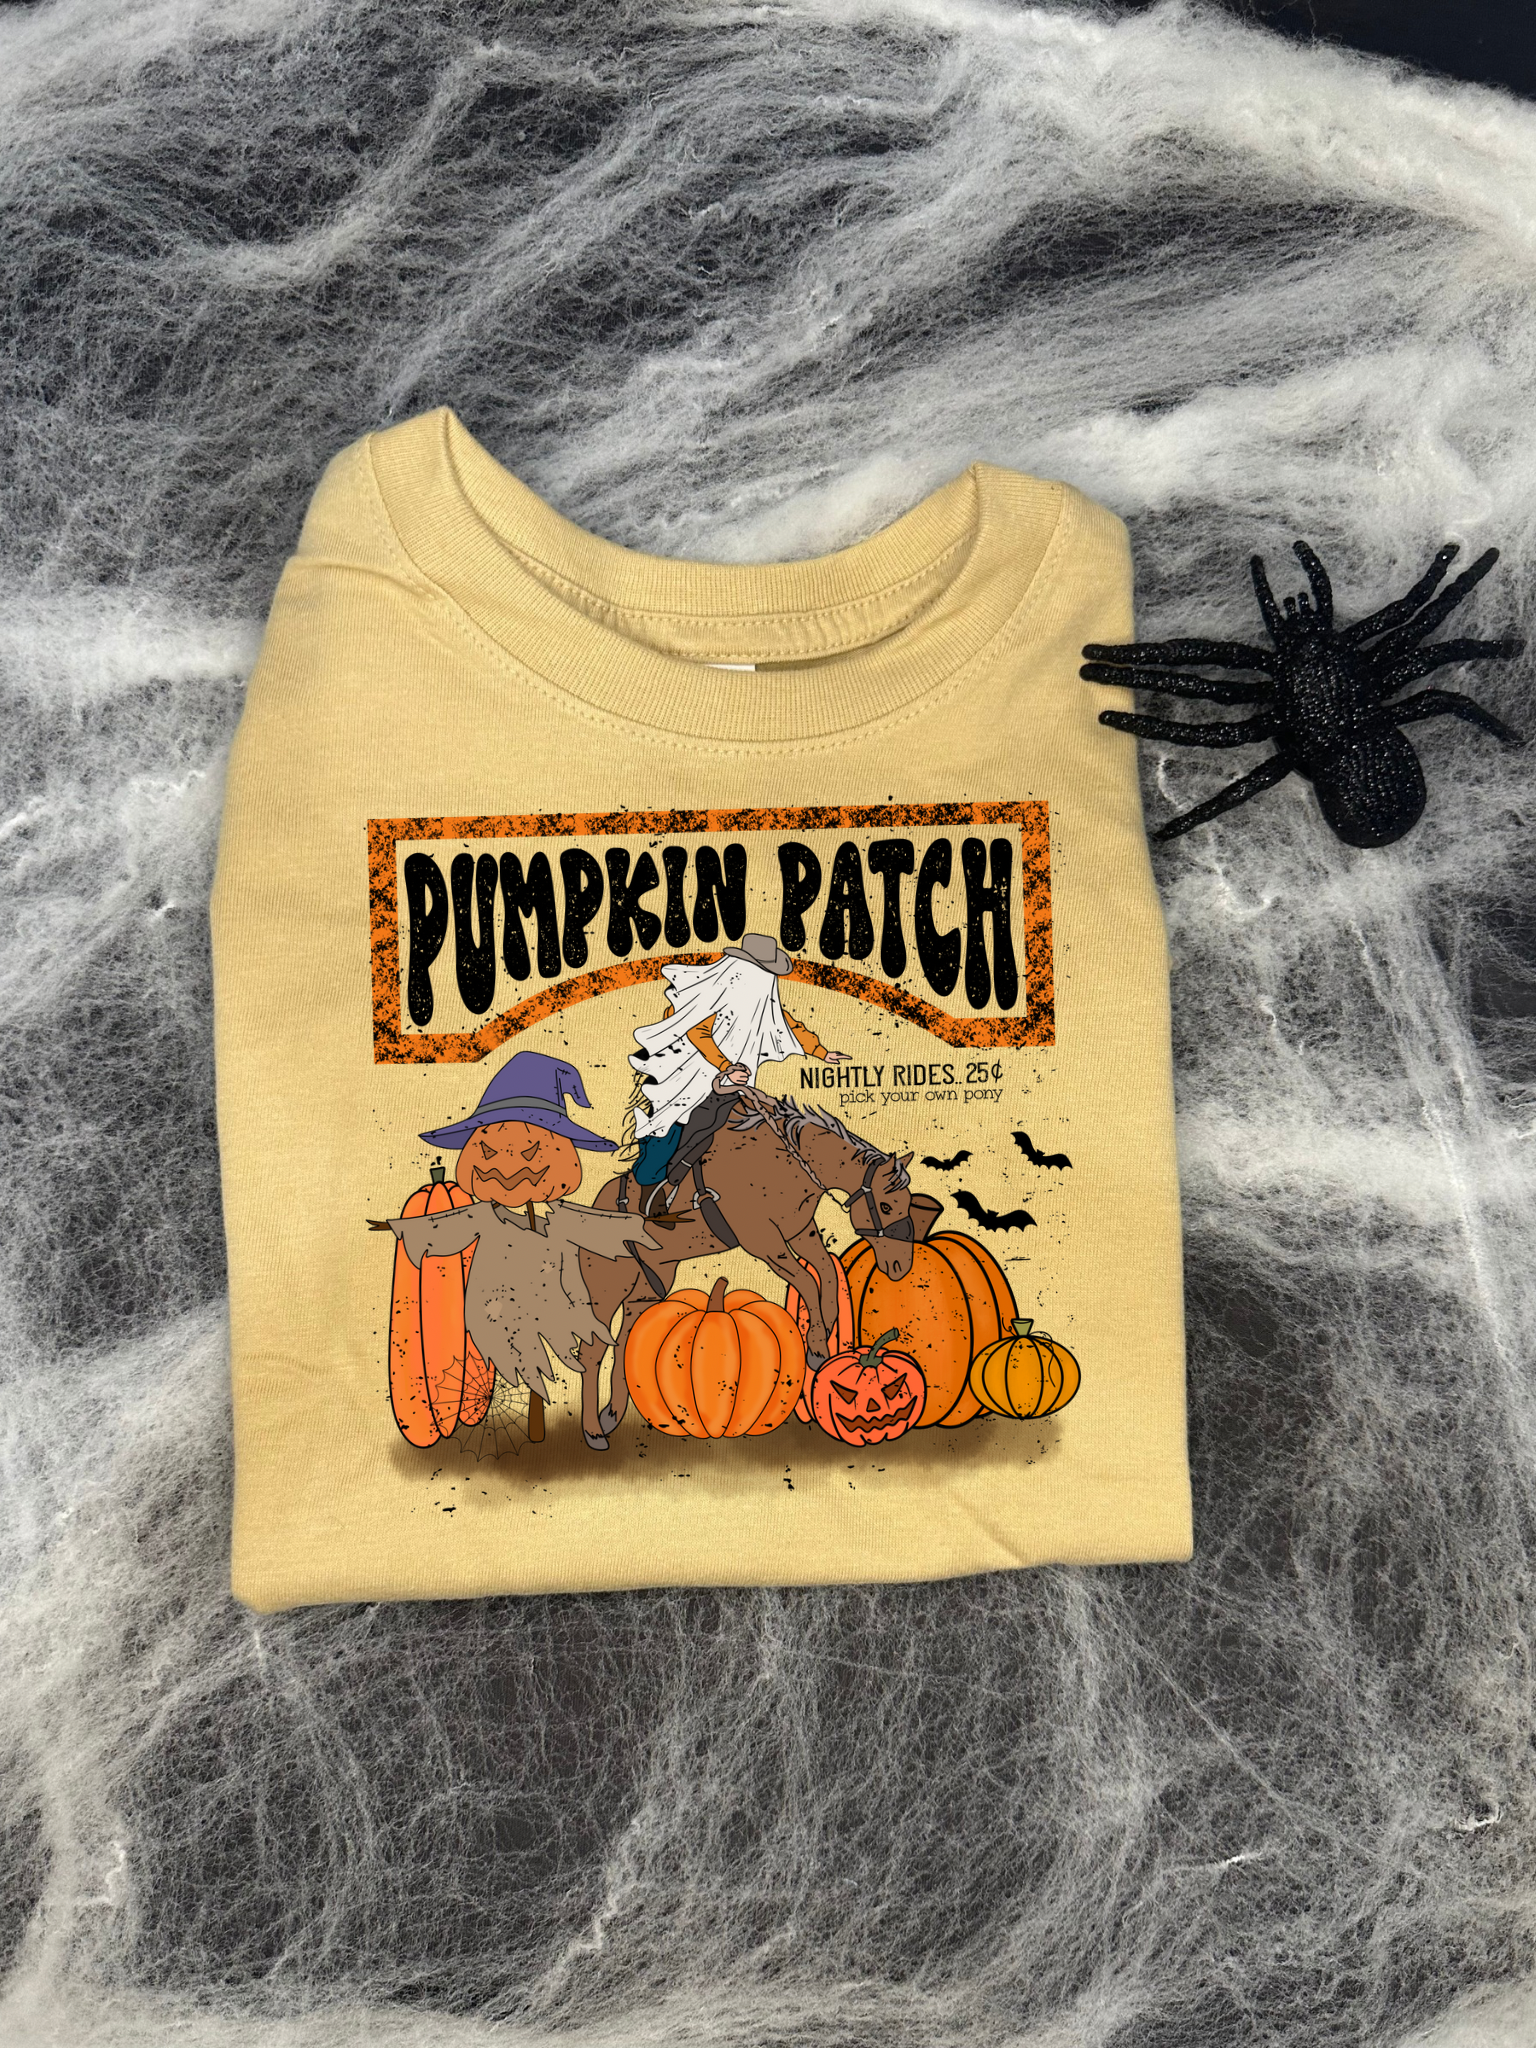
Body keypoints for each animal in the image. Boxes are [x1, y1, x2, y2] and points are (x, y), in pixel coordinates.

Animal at [573, 1094, 916, 1448]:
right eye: (886, 1206)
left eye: (906, 1204)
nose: (901, 1265)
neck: (784, 1161)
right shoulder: (763, 1243)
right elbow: (807, 1279)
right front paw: (818, 1348)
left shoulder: (800, 1231)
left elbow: (826, 1272)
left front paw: (827, 1325)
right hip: (606, 1288)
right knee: (593, 1351)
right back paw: (593, 1432)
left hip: (649, 1285)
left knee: (626, 1340)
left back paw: (611, 1415)